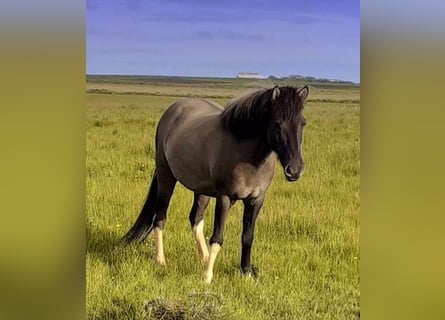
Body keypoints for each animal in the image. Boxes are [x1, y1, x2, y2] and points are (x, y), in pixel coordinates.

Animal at [123, 85, 306, 282]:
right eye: (277, 123)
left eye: (302, 123)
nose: (294, 170)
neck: (247, 156)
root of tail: (173, 110)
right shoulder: (224, 197)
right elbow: (217, 237)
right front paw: (207, 277)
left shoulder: (256, 200)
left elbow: (247, 237)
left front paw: (246, 273)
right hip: (166, 177)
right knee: (160, 217)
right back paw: (161, 260)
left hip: (201, 190)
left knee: (195, 219)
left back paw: (203, 258)